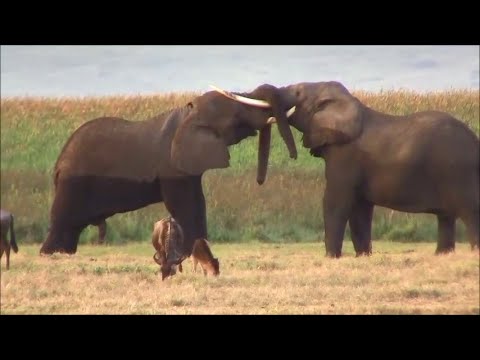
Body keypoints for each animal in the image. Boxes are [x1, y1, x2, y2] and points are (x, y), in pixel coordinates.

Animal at [40, 83, 296, 256]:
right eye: (236, 116)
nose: (260, 180)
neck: (188, 114)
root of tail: (59, 162)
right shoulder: (171, 167)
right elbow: (183, 203)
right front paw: (191, 253)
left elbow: (197, 201)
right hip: (74, 183)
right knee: (64, 219)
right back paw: (51, 254)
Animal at [246, 80, 478, 258]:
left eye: (297, 93)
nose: (293, 155)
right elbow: (360, 209)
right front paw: (363, 256)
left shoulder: (345, 155)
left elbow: (335, 202)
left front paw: (331, 257)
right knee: (446, 217)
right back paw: (442, 255)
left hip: (459, 171)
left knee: (470, 212)